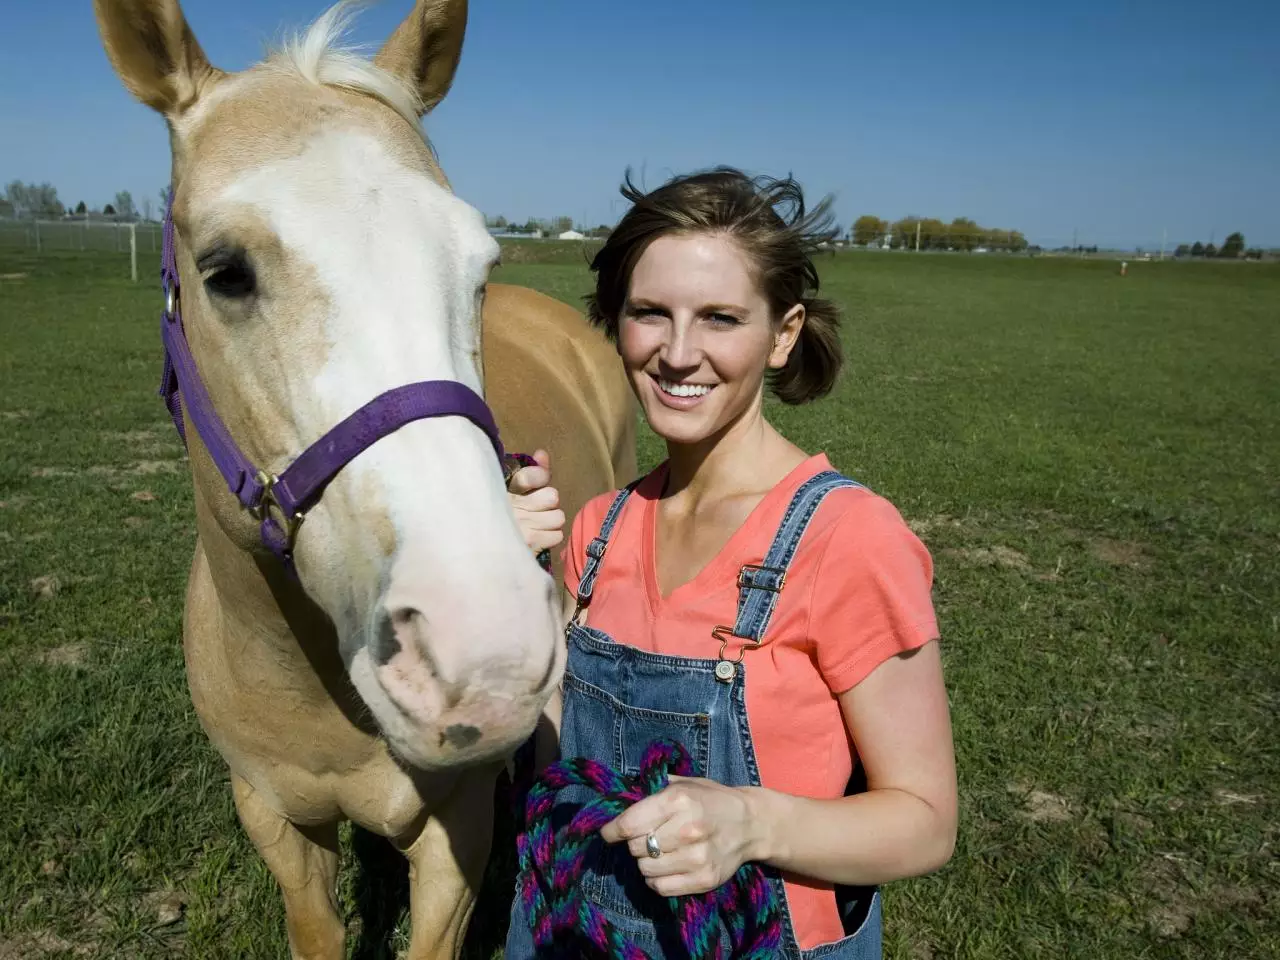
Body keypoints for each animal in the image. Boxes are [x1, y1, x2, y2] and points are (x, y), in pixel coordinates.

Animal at [87, 3, 637, 957]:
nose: (483, 654)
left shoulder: (455, 832)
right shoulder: (275, 819)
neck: (308, 678)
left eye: (479, 267)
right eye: (224, 271)